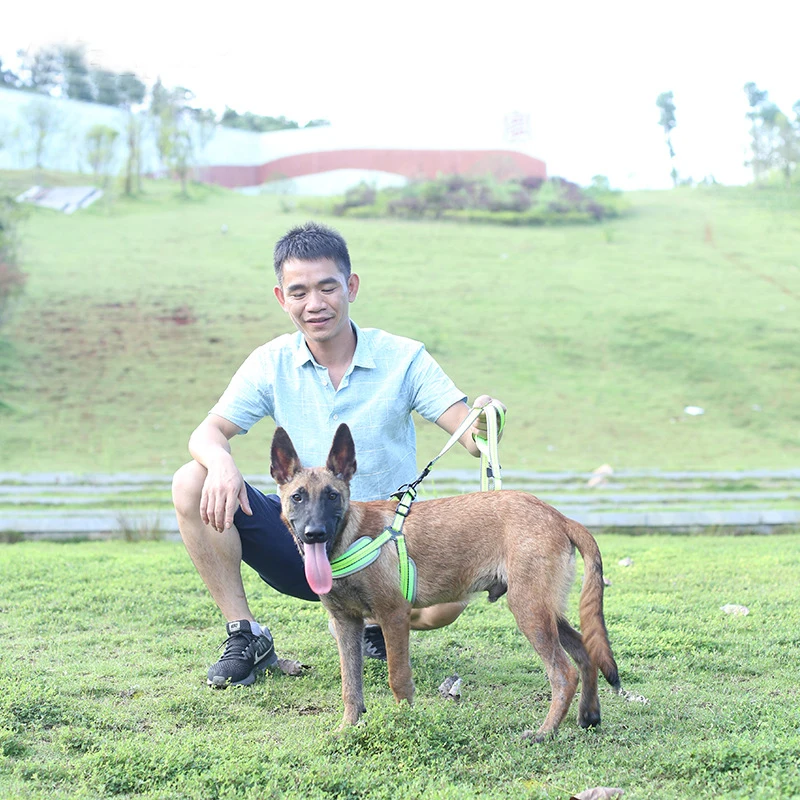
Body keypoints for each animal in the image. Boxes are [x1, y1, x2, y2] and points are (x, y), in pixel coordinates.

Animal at [272, 422, 620, 740]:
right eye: (298, 497)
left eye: (332, 496)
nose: (314, 533)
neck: (349, 537)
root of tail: (559, 516)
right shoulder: (347, 624)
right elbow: (350, 684)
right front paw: (348, 727)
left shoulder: (393, 615)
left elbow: (398, 677)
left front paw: (404, 724)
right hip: (544, 609)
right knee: (585, 651)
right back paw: (588, 715)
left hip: (529, 609)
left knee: (563, 672)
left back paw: (544, 732)